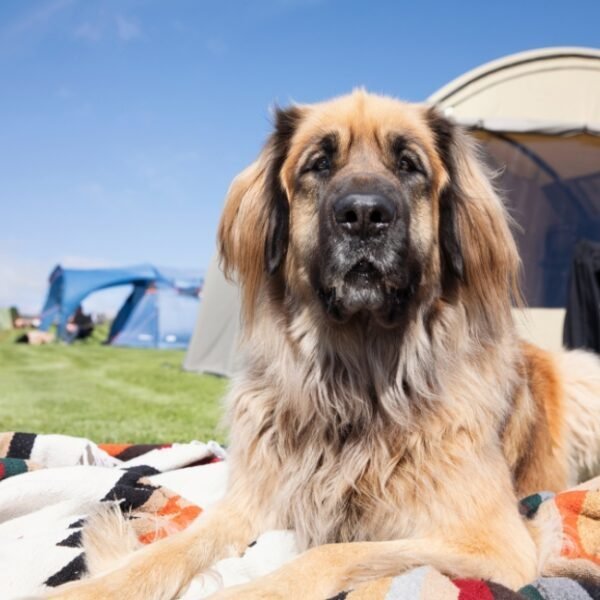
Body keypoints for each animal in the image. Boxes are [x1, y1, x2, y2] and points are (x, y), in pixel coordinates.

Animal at [51, 90, 600, 600]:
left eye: (408, 164)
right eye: (319, 164)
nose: (363, 214)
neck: (357, 379)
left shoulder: (493, 543)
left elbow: (331, 552)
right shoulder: (253, 501)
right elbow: (174, 546)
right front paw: (95, 587)